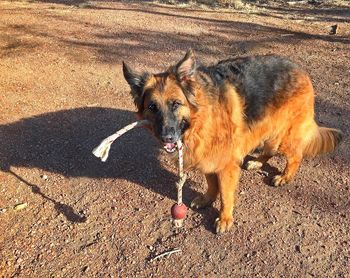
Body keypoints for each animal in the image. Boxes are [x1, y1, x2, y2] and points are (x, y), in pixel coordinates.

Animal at [122, 50, 342, 232]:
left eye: (176, 104)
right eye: (152, 107)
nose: (167, 137)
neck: (200, 117)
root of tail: (301, 71)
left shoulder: (226, 165)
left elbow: (226, 194)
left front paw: (225, 218)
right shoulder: (209, 158)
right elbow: (212, 185)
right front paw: (207, 199)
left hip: (285, 135)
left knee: (295, 156)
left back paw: (284, 177)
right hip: (267, 128)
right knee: (270, 149)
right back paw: (257, 162)